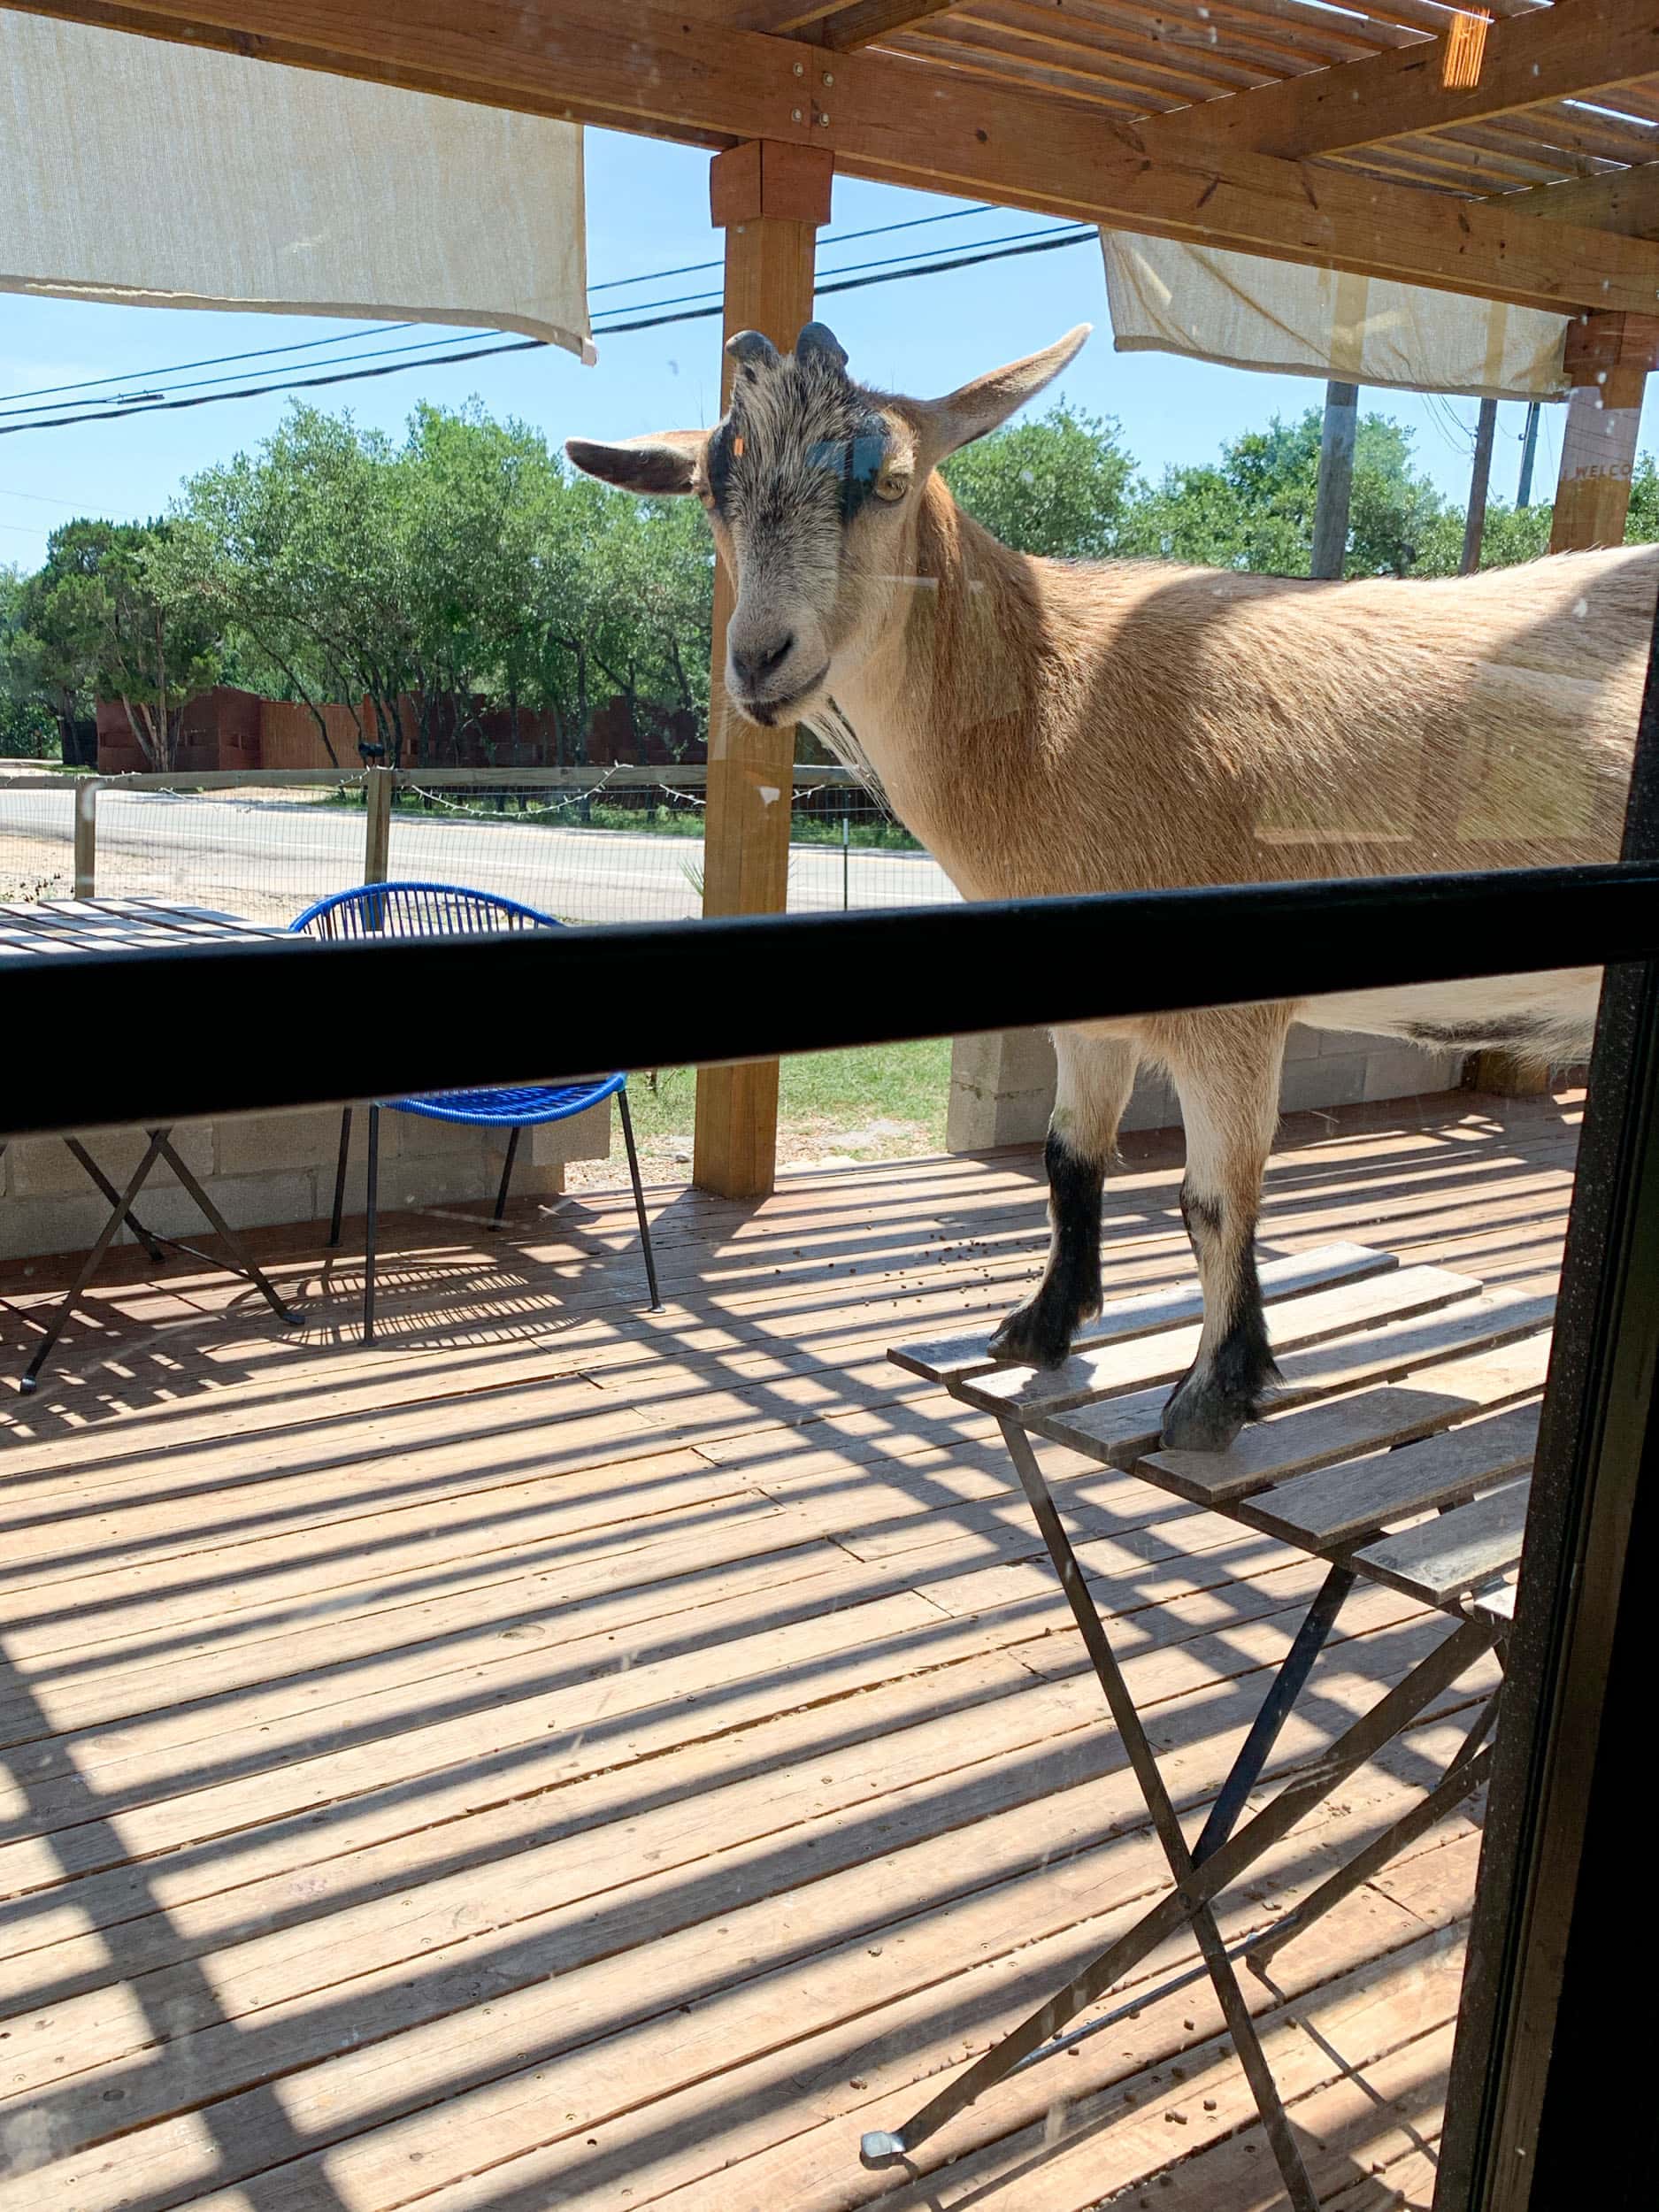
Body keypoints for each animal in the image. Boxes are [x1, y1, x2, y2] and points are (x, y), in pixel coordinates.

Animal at [575, 323, 1659, 1451]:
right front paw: (1039, 1327)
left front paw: (1212, 1395)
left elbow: (1213, 1200)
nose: (760, 659)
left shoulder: (1234, 1016)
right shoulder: (1090, 1011)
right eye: (712, 488)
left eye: (890, 482)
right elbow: (1068, 1158)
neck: (1050, 704)